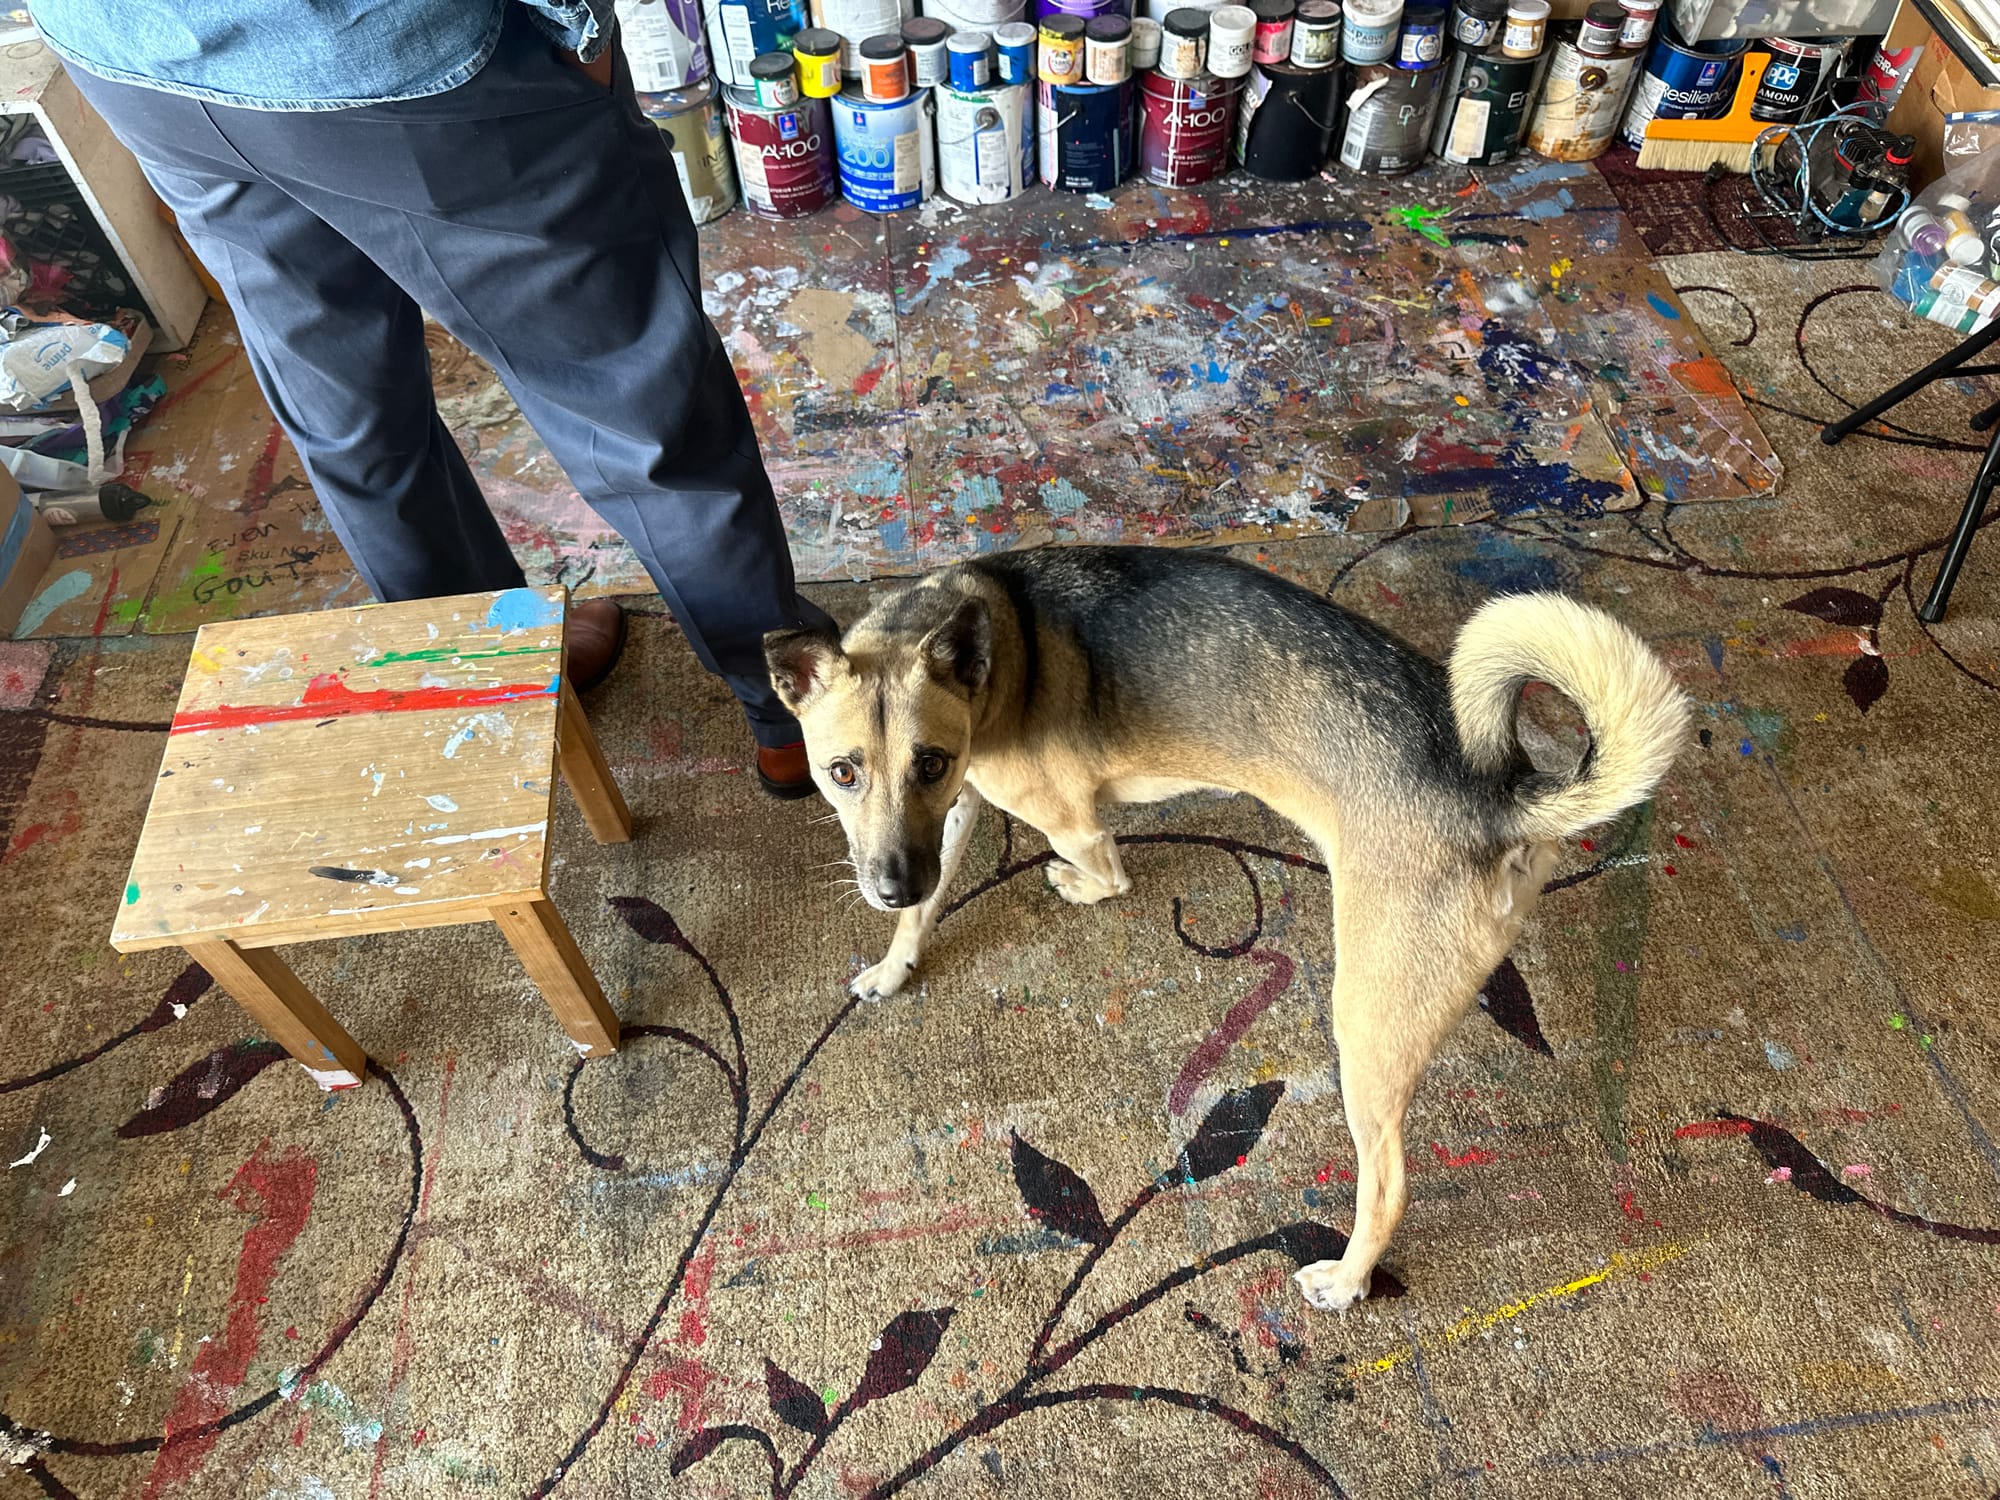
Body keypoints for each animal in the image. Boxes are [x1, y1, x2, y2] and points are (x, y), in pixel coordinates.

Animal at [765, 545, 1687, 1311]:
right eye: (840, 772)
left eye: (929, 760)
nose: (887, 886)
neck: (997, 654)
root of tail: (1509, 796)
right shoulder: (948, 823)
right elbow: (926, 908)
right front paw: (892, 966)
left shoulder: (1072, 825)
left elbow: (1102, 875)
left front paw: (1069, 888)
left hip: (1365, 1022)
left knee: (1386, 1181)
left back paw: (1345, 1280)